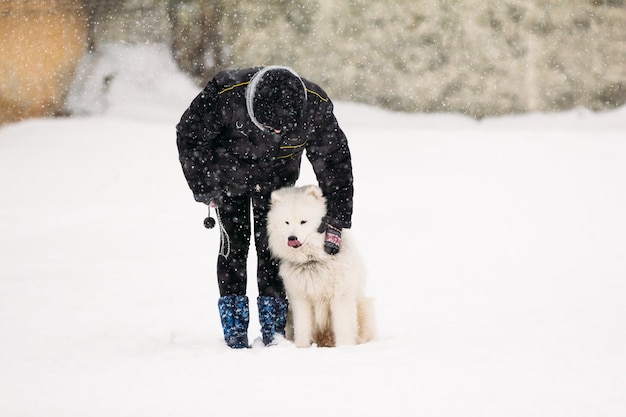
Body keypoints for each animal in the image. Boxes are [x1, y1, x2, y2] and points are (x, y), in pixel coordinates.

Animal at [264, 185, 372, 348]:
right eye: (286, 222)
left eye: (303, 222)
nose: (292, 238)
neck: (312, 260)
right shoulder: (300, 299)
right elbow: (302, 327)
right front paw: (301, 348)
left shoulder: (341, 296)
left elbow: (343, 327)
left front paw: (345, 348)